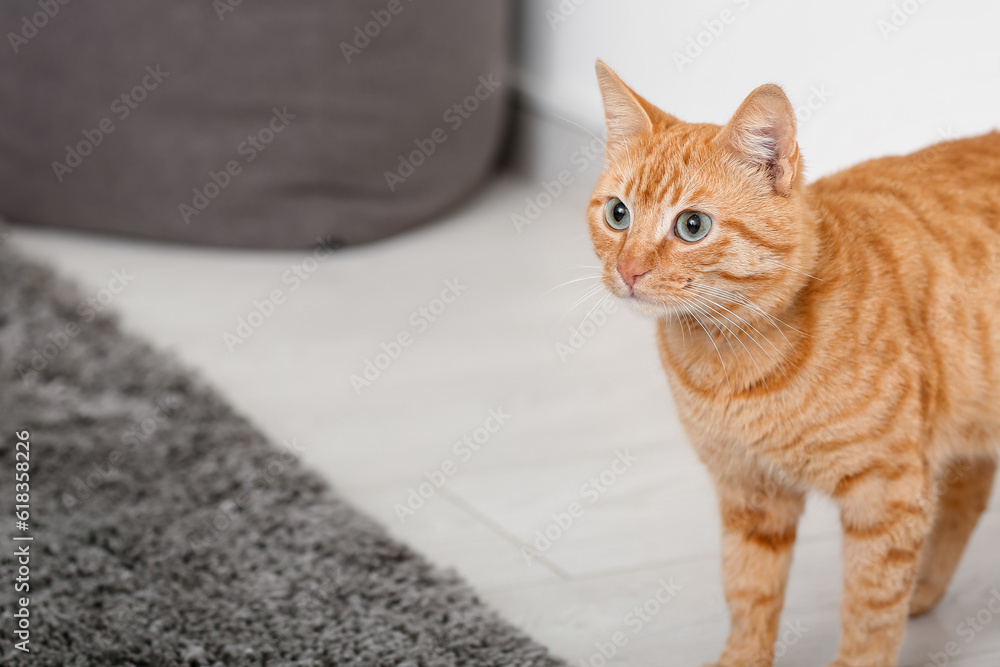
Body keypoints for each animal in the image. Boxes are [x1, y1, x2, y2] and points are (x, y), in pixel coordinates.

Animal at [584, 62, 1000, 667]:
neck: (731, 366)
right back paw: (925, 589)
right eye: (618, 214)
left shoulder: (886, 495)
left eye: (692, 226)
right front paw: (740, 658)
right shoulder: (749, 494)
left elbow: (870, 612)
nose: (629, 269)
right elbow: (749, 592)